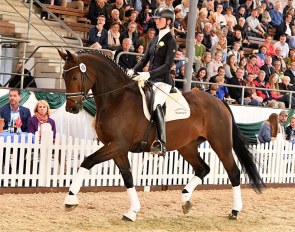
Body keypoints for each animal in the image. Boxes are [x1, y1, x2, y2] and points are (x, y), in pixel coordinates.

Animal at [58, 48, 266, 221]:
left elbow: (88, 161)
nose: (71, 108)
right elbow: (128, 178)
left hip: (220, 143)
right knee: (203, 169)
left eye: (75, 77)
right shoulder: (116, 148)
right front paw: (132, 211)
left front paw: (70, 200)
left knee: (234, 172)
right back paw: (185, 200)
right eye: (63, 75)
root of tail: (218, 101)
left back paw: (235, 211)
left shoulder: (118, 145)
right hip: (187, 146)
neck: (116, 99)